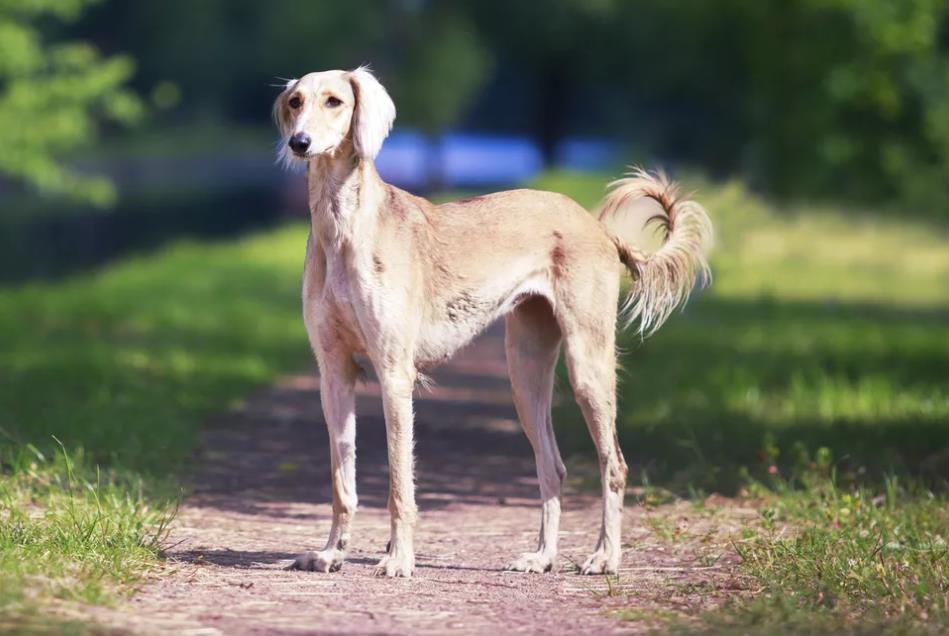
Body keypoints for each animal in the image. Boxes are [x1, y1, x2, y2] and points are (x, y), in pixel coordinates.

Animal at [272, 67, 712, 577]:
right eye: (296, 102)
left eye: (335, 101)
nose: (300, 143)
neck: (343, 226)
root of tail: (597, 226)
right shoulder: (334, 375)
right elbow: (341, 481)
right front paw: (331, 553)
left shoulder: (395, 375)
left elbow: (400, 483)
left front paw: (399, 558)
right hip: (525, 374)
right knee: (553, 466)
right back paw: (543, 556)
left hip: (588, 367)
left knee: (614, 465)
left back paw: (605, 556)